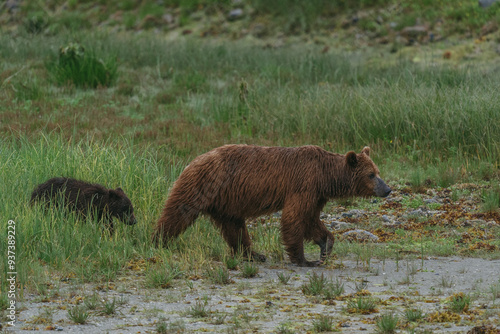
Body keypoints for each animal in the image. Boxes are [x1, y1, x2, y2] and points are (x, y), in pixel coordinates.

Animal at [152, 145, 390, 268]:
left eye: (377, 171)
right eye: (371, 175)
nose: (387, 189)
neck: (325, 176)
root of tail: (194, 160)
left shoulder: (316, 195)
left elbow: (311, 220)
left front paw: (325, 246)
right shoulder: (303, 184)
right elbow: (294, 218)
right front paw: (303, 259)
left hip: (227, 201)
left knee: (234, 227)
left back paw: (254, 254)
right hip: (204, 185)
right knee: (180, 211)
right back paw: (159, 240)